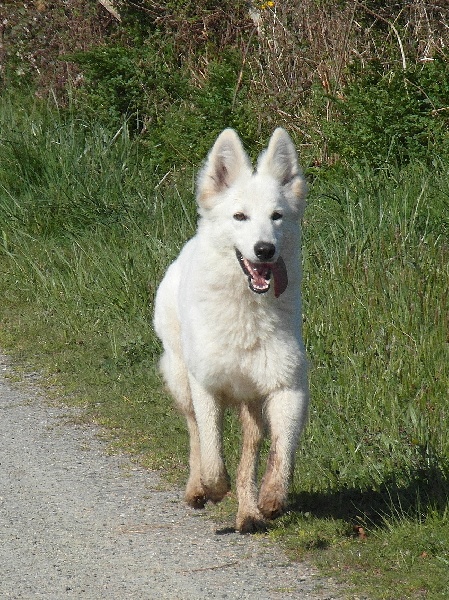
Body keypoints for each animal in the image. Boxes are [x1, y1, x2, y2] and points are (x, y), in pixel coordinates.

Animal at [154, 129, 308, 532]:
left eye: (276, 217)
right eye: (240, 216)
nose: (265, 249)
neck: (247, 312)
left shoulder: (288, 387)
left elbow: (281, 453)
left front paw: (271, 498)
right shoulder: (206, 386)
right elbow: (211, 452)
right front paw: (211, 487)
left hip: (252, 402)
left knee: (250, 454)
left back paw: (249, 511)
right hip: (181, 378)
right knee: (194, 433)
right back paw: (196, 489)